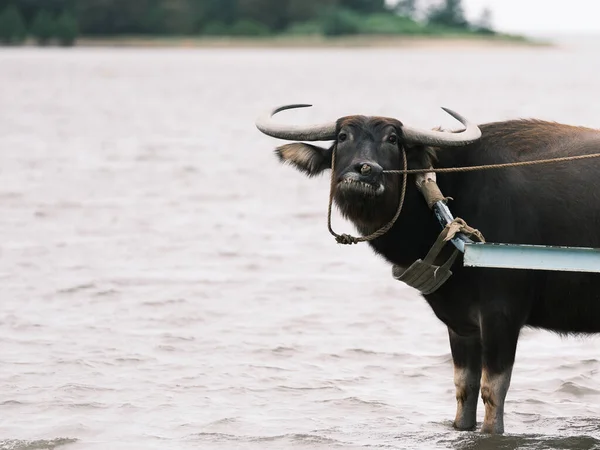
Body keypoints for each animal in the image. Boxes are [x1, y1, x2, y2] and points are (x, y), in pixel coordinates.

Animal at [255, 103, 600, 434]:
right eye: (342, 137)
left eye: (393, 139)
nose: (365, 171)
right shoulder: (461, 324)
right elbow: (464, 389)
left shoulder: (501, 315)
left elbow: (493, 391)